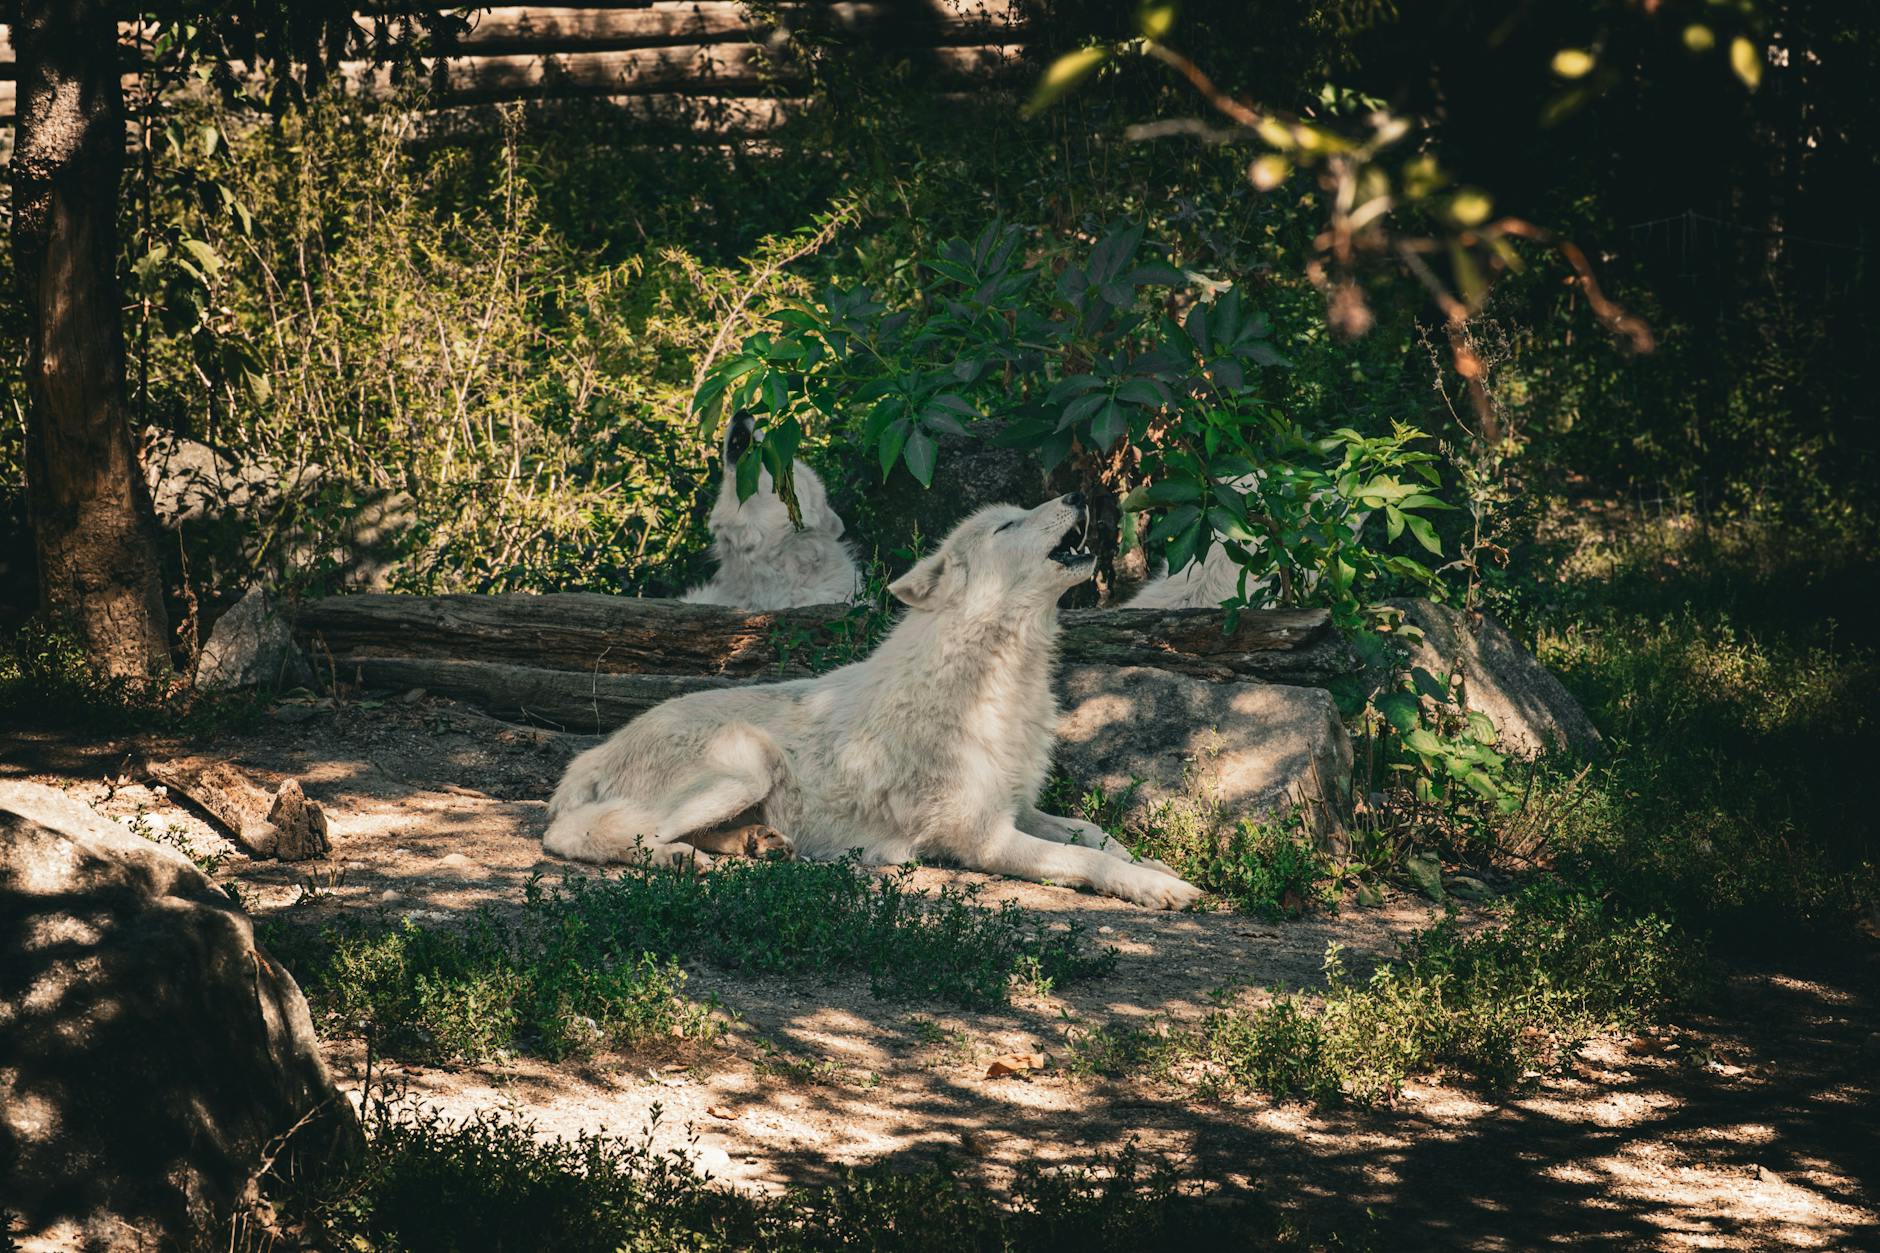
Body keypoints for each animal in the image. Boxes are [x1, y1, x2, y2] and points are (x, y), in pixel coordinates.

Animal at [546, 493, 1203, 909]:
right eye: (1007, 527)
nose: (1078, 493)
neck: (998, 681)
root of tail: (593, 755)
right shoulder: (983, 838)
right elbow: (1089, 861)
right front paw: (1159, 888)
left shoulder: (1018, 808)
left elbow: (1095, 833)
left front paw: (1157, 866)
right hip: (746, 762)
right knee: (574, 835)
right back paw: (673, 860)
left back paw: (753, 843)